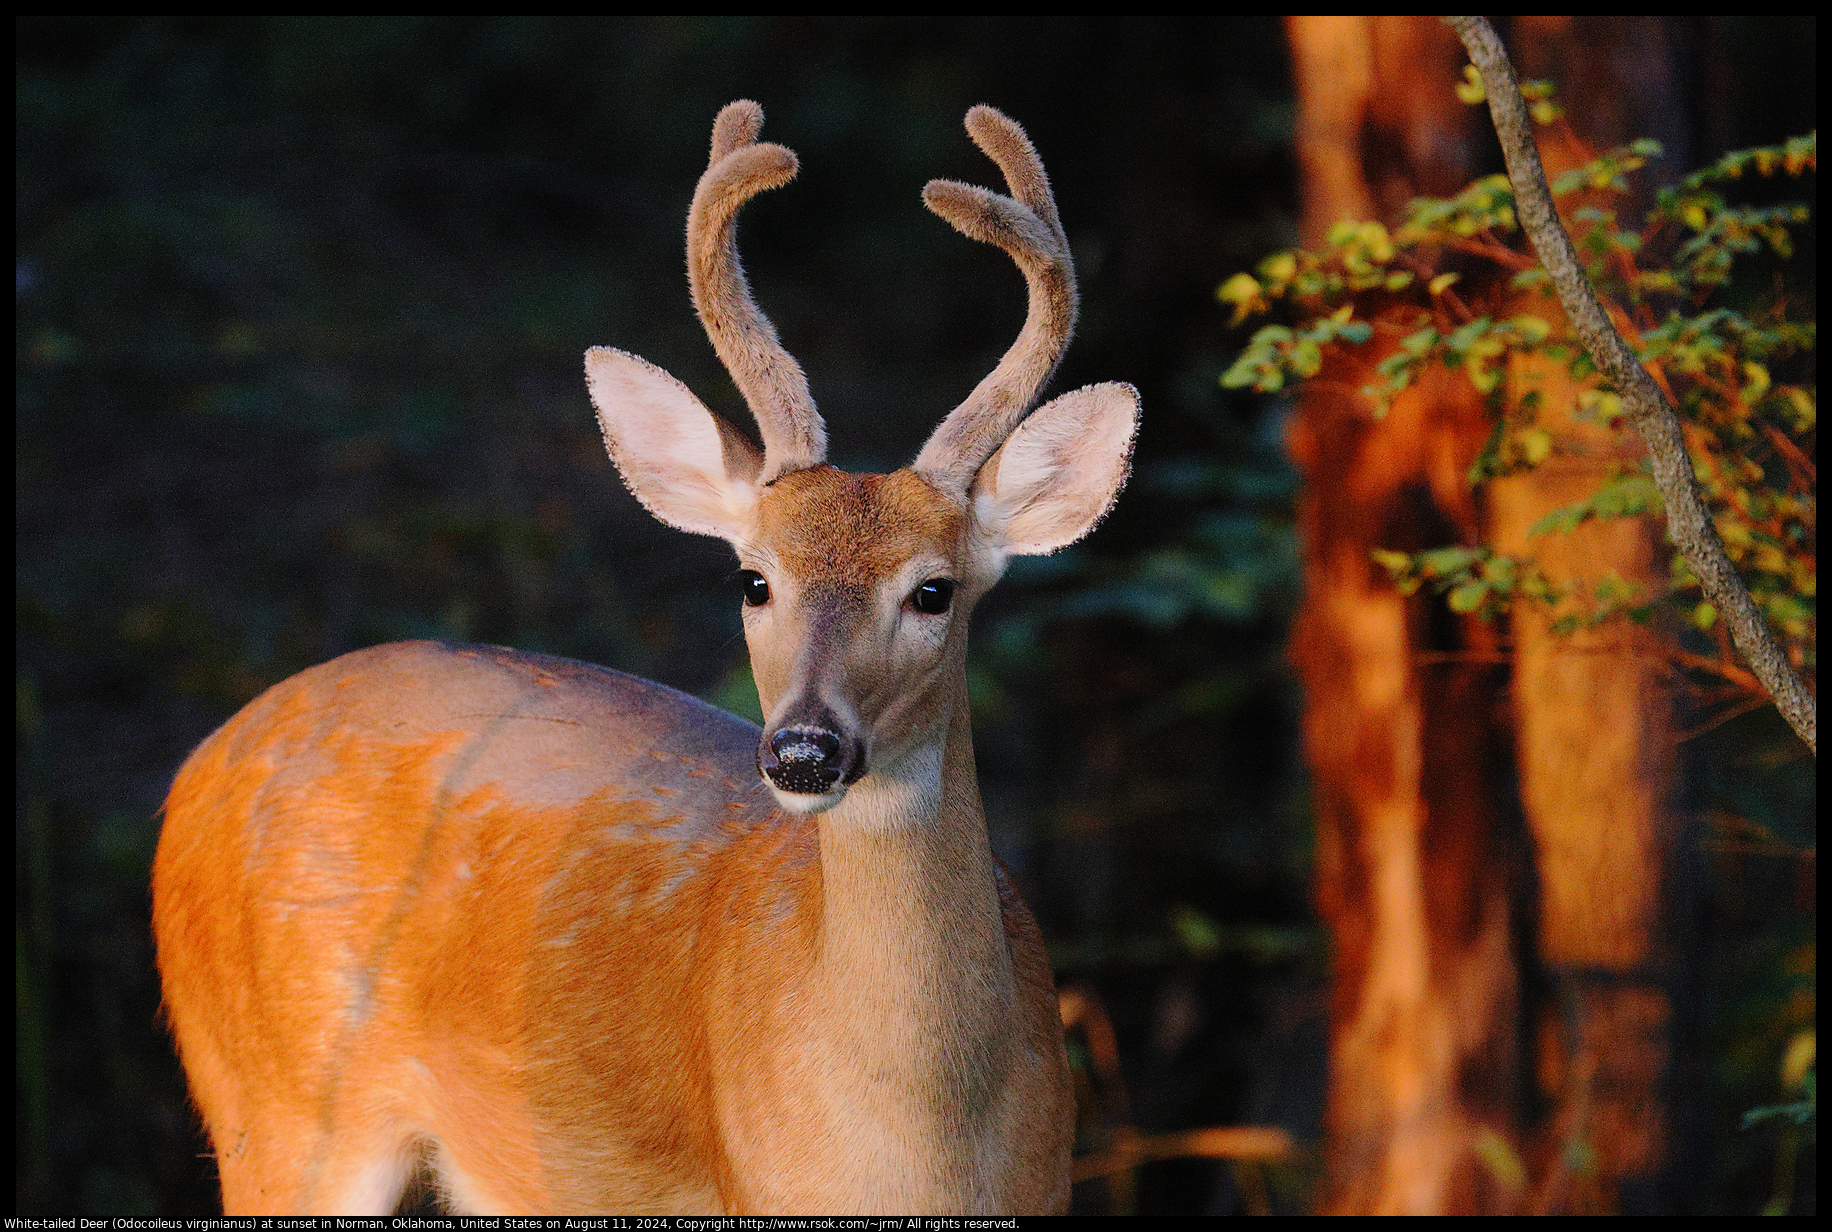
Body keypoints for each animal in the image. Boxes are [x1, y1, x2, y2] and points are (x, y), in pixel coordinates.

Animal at [157, 100, 1135, 1217]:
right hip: (272, 1103)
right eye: (752, 579)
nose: (804, 751)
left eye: (933, 590)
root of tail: (194, 773)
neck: (922, 1156)